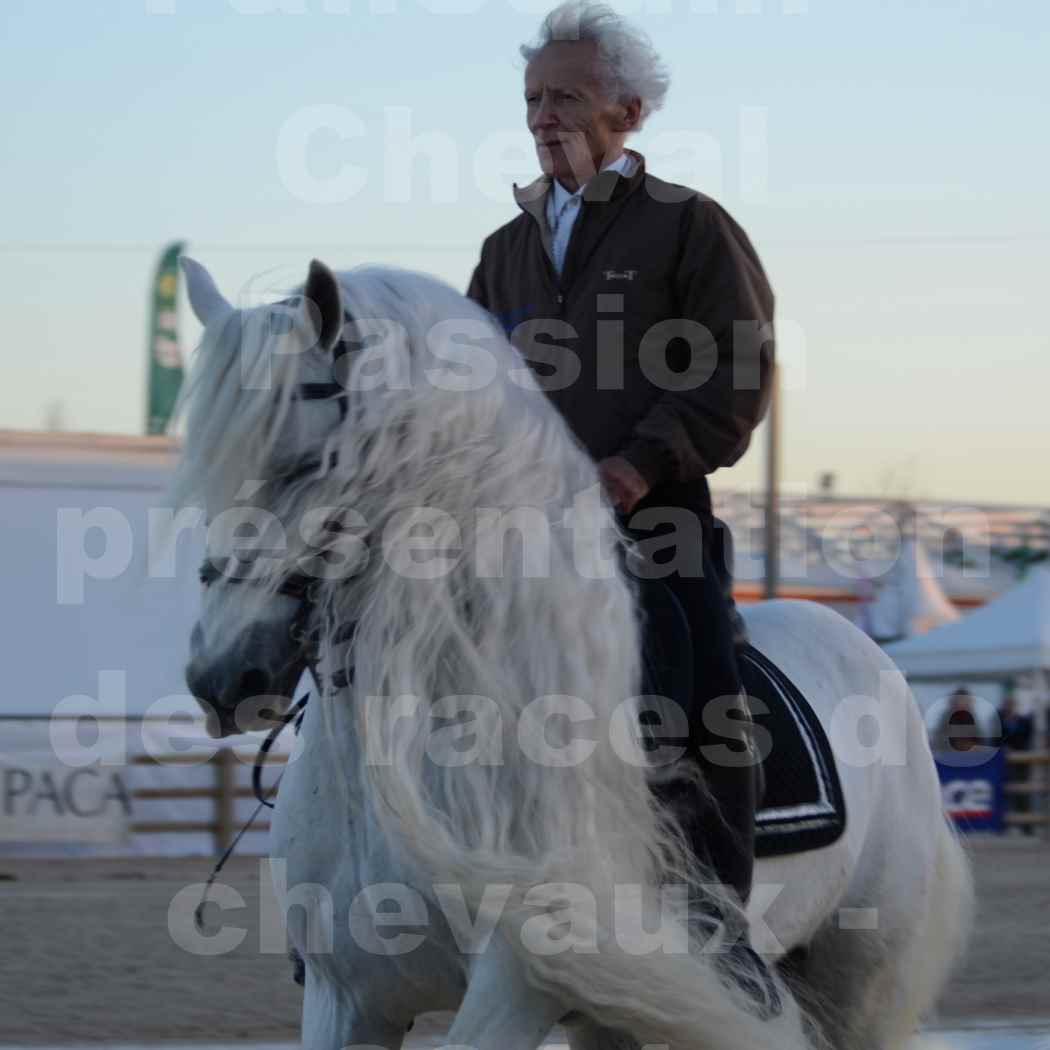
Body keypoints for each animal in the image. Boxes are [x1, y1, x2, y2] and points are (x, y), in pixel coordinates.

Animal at [176, 256, 970, 1050]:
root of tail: (861, 647)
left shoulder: (515, 986)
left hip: (856, 987)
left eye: (305, 463)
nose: (220, 677)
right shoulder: (346, 998)